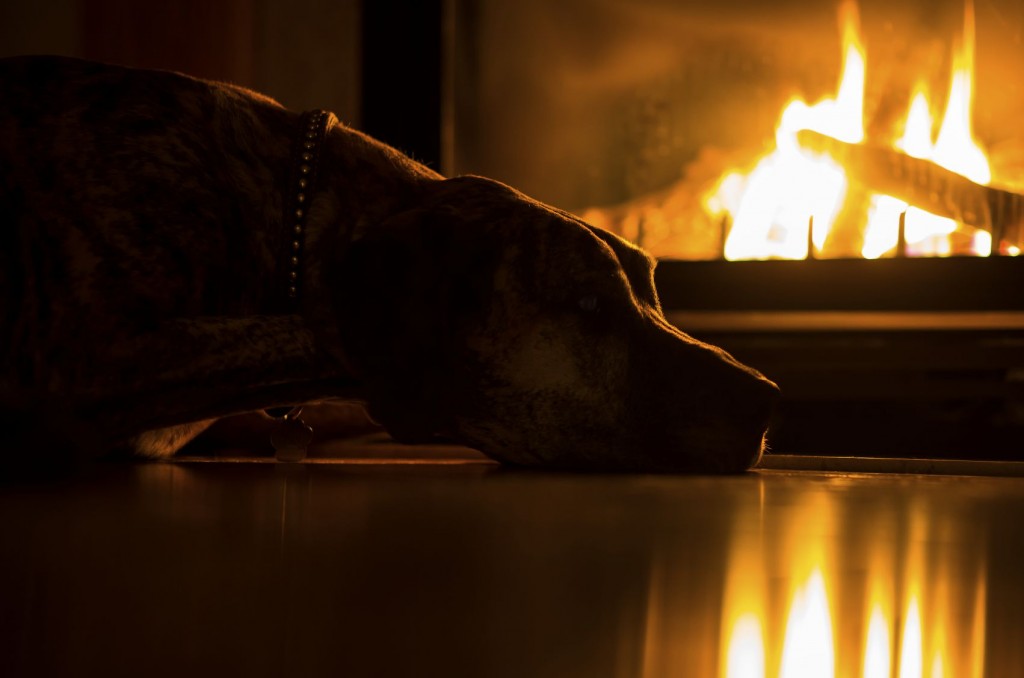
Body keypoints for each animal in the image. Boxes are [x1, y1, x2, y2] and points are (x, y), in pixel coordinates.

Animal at [0, 55, 774, 473]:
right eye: (587, 304)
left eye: (653, 288)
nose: (768, 397)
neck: (283, 211)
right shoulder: (85, 355)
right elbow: (311, 332)